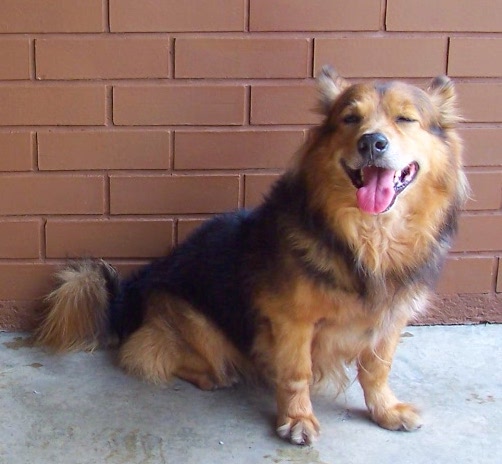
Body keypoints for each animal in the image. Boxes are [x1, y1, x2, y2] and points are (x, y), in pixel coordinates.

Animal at [36, 67, 470, 444]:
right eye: (350, 119)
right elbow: (296, 372)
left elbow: (377, 370)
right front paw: (297, 419)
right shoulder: (293, 320)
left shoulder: (391, 317)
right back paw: (216, 375)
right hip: (194, 322)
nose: (371, 142)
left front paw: (385, 410)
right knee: (148, 355)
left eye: (406, 119)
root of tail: (130, 293)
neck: (368, 237)